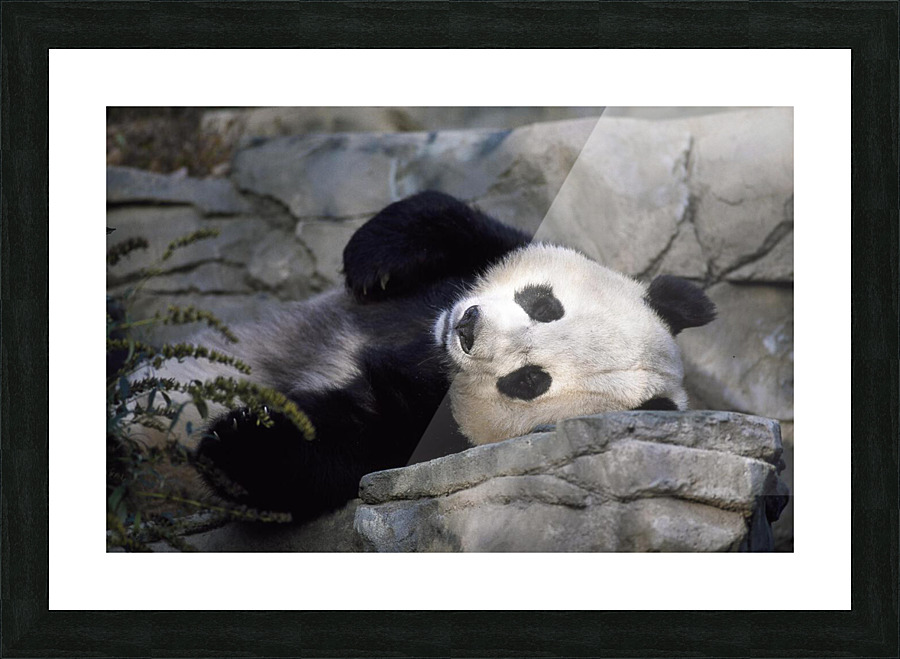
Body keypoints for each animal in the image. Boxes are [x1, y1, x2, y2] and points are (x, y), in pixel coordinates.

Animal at [175, 191, 715, 523]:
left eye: (529, 381)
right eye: (544, 306)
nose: (467, 328)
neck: (427, 351)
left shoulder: (422, 440)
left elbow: (344, 448)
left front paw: (237, 445)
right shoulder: (484, 254)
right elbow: (458, 223)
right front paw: (372, 261)